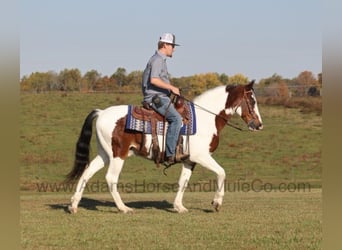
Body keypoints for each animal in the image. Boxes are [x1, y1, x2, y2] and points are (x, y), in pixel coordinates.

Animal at [67, 80, 264, 213]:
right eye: (252, 101)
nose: (259, 125)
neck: (205, 119)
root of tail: (101, 113)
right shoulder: (202, 157)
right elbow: (222, 172)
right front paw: (216, 202)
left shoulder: (190, 160)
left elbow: (183, 182)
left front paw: (179, 206)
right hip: (118, 155)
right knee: (110, 178)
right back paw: (123, 208)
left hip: (104, 154)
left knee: (87, 173)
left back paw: (73, 205)